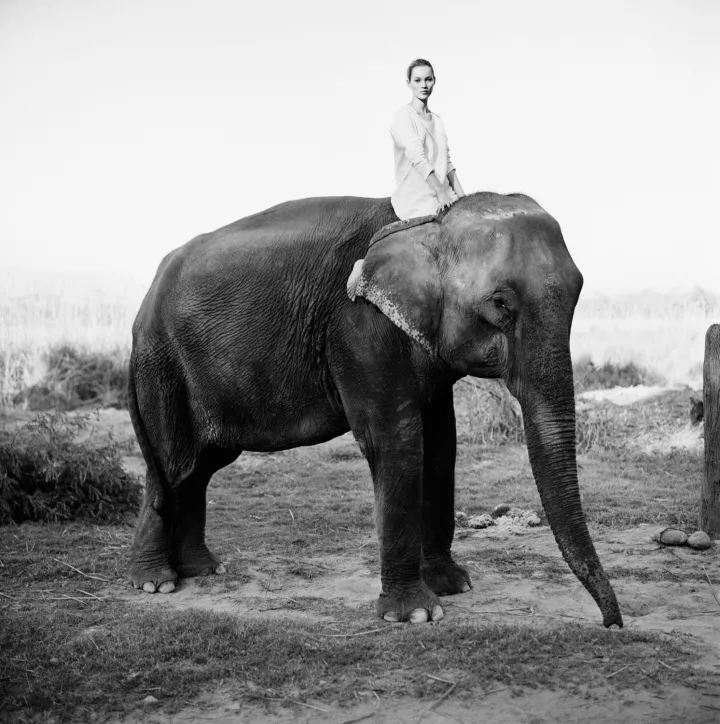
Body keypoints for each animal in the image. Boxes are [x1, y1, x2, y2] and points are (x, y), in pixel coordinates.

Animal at [129, 192, 624, 628]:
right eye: (500, 304)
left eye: (579, 293)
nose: (612, 624)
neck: (431, 220)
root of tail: (143, 303)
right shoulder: (359, 329)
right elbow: (397, 442)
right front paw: (417, 614)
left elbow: (441, 444)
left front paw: (453, 586)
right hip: (162, 366)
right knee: (173, 465)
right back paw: (156, 583)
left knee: (200, 467)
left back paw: (203, 570)